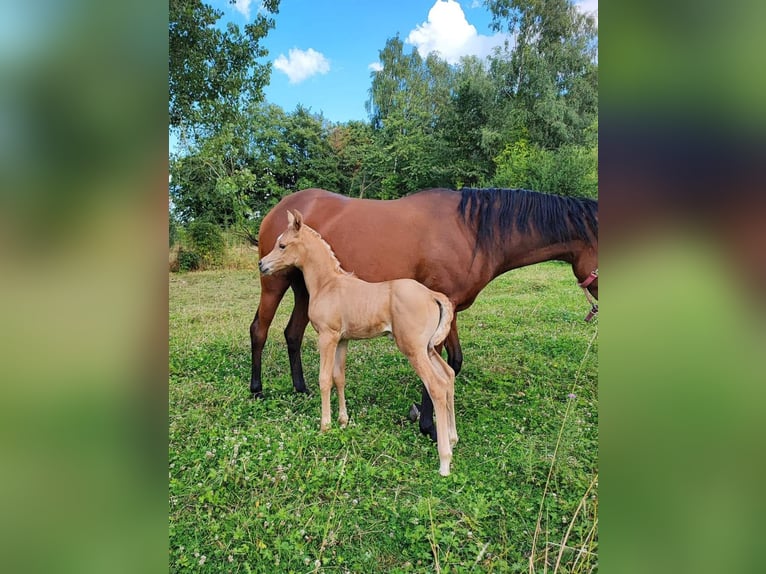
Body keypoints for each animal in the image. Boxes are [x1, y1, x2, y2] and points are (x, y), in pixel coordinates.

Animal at [252, 187, 600, 444]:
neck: (471, 231)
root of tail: (281, 207)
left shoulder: (450, 309)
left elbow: (453, 363)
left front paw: (423, 413)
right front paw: (429, 426)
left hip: (303, 291)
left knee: (292, 333)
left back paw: (301, 389)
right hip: (274, 283)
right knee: (260, 330)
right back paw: (257, 390)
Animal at [260, 210, 460, 476]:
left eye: (282, 245)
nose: (262, 265)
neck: (328, 284)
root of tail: (432, 295)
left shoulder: (327, 337)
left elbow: (324, 379)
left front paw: (325, 425)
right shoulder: (342, 340)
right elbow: (339, 378)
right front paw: (343, 421)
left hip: (414, 350)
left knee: (436, 386)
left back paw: (444, 461)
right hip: (428, 349)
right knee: (448, 376)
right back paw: (453, 438)